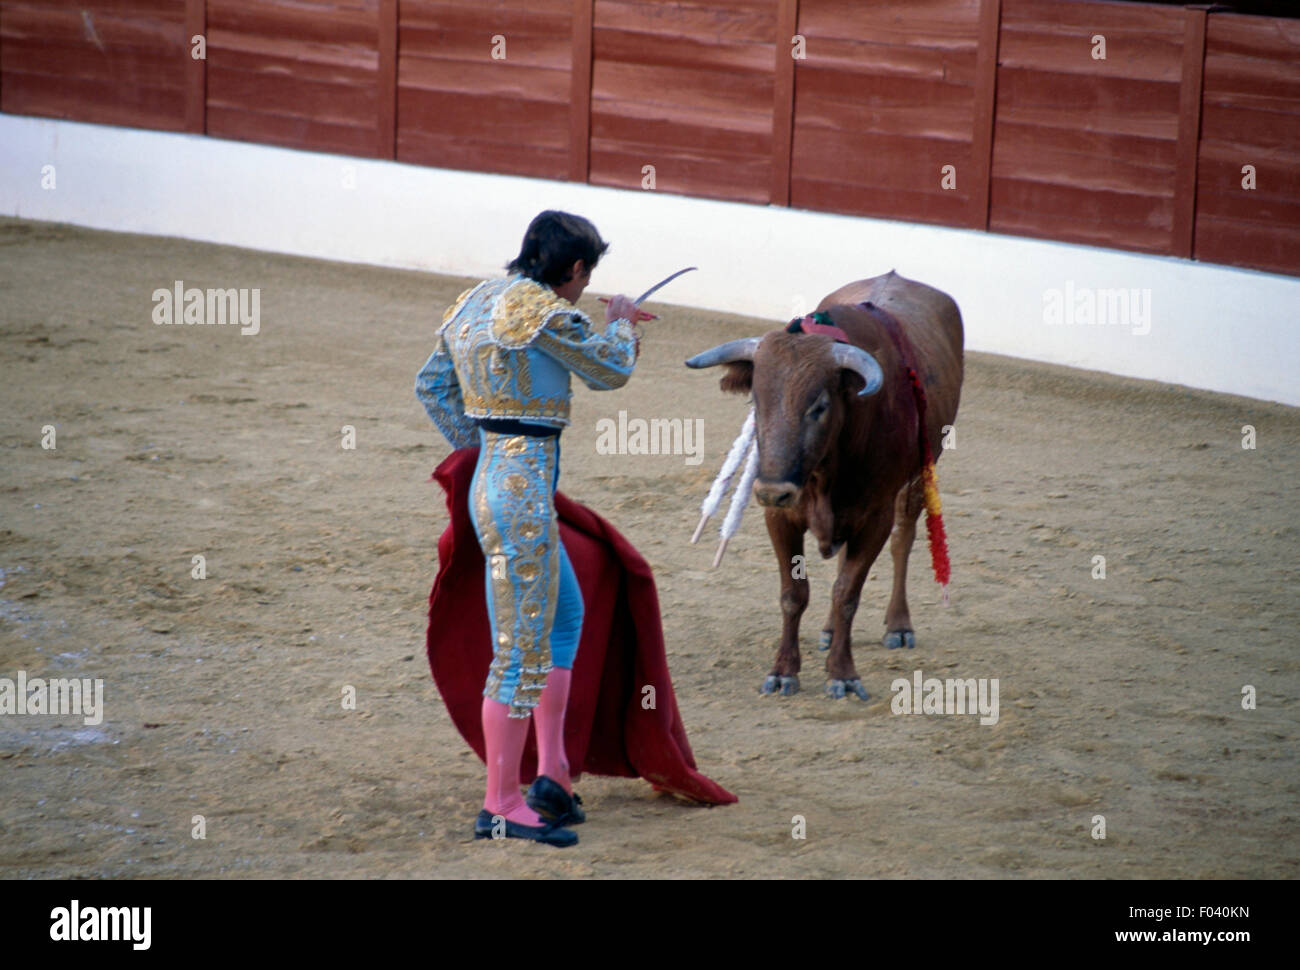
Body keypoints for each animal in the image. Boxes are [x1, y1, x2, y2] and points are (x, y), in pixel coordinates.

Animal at [686, 267, 961, 696]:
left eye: (819, 406)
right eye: (756, 402)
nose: (772, 490)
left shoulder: (874, 518)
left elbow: (848, 593)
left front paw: (843, 673)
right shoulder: (780, 517)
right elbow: (794, 594)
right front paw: (784, 670)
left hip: (922, 470)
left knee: (903, 537)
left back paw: (899, 624)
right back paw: (831, 631)